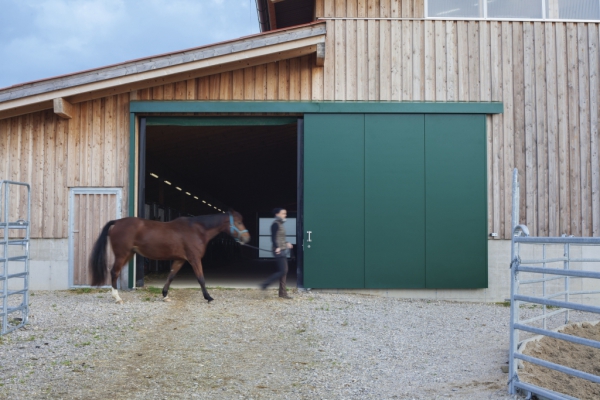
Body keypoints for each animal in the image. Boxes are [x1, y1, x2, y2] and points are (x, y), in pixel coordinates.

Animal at [88, 212, 250, 304]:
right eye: (239, 222)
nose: (247, 238)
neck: (197, 230)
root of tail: (117, 222)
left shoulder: (180, 260)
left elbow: (171, 276)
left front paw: (165, 295)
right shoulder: (194, 259)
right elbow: (201, 278)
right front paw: (208, 297)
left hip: (129, 254)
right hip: (122, 254)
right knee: (114, 272)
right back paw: (117, 298)